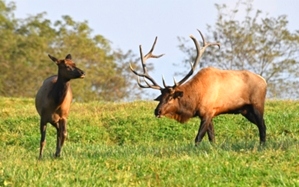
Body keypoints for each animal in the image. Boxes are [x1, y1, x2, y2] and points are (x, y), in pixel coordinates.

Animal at [131, 29, 268, 146]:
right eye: (161, 97)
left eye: (170, 98)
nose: (157, 111)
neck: (195, 100)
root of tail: (264, 81)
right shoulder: (208, 114)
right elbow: (212, 137)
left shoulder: (207, 112)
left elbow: (198, 138)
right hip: (245, 110)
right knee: (261, 125)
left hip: (257, 104)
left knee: (262, 125)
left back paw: (262, 145)